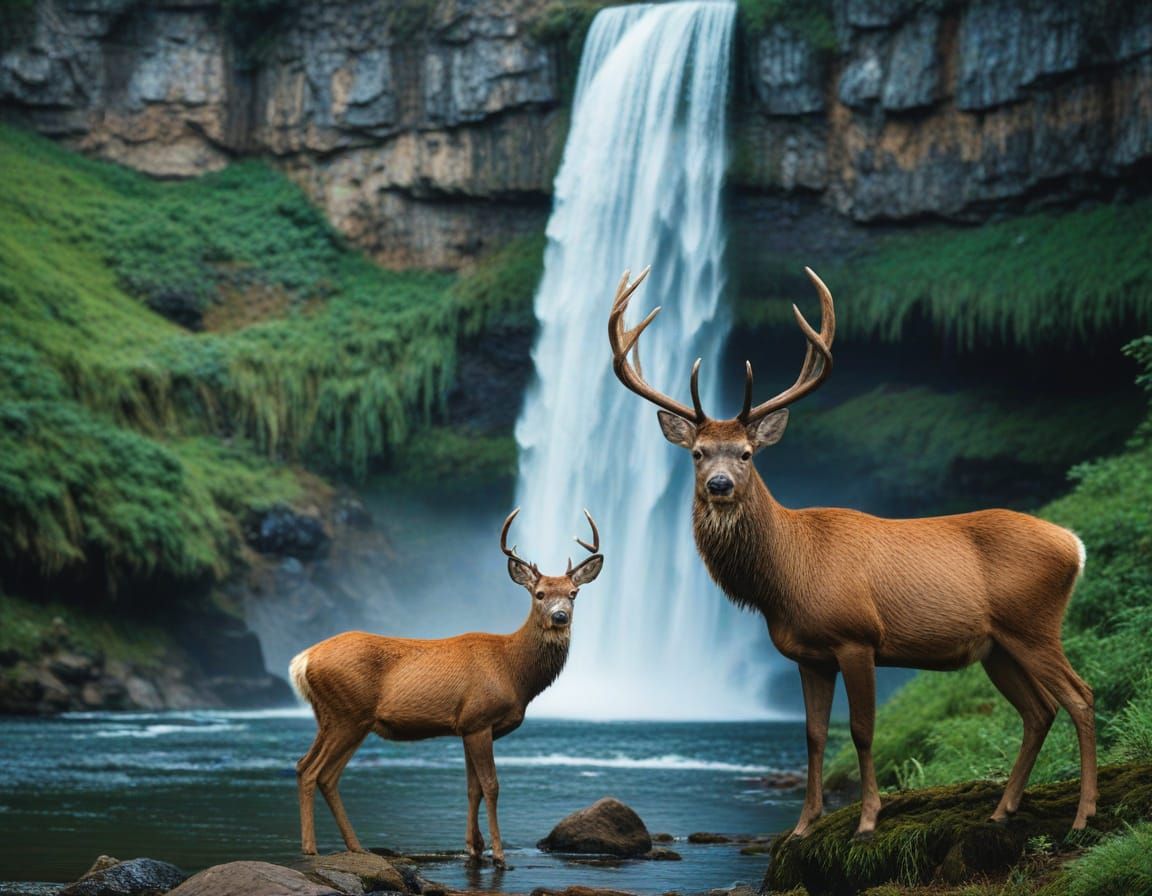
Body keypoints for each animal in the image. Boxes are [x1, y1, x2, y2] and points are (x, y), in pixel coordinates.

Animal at [289, 508, 604, 866]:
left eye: (573, 594)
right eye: (539, 594)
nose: (560, 616)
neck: (513, 671)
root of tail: (303, 661)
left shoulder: (467, 725)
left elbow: (472, 788)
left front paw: (474, 847)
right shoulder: (480, 718)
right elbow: (491, 785)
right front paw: (498, 854)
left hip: (335, 717)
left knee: (315, 771)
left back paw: (355, 846)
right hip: (347, 713)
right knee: (313, 770)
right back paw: (311, 848)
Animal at [607, 265, 1096, 840]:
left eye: (747, 453)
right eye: (698, 453)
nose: (720, 484)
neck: (787, 576)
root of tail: (1075, 546)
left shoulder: (857, 635)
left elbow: (861, 730)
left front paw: (866, 820)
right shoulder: (808, 654)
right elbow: (814, 735)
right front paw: (802, 825)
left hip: (1033, 622)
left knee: (1080, 695)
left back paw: (1083, 816)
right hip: (998, 646)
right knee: (1039, 710)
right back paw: (1003, 808)